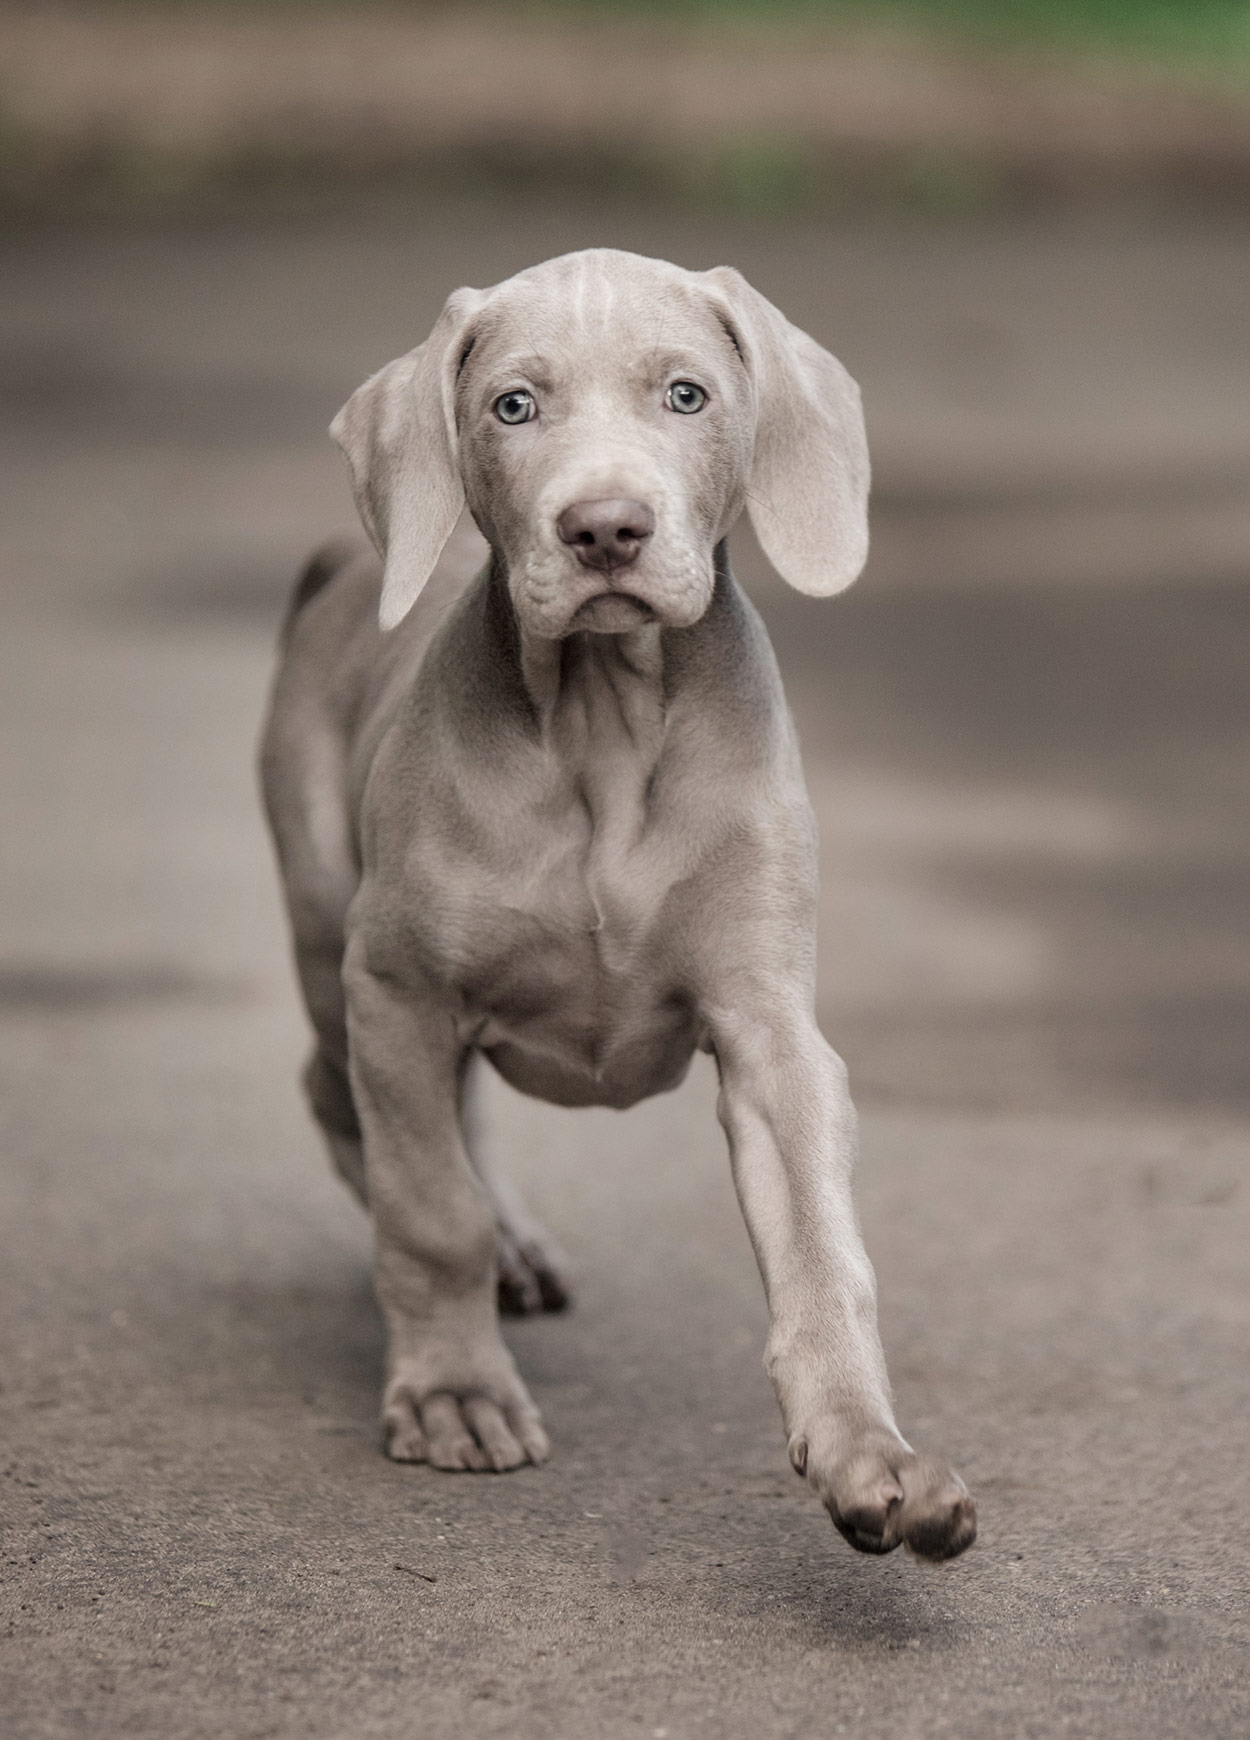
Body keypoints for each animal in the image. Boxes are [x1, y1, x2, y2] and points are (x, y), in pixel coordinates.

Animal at [261, 248, 981, 1566]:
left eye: (685, 395)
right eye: (512, 405)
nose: (604, 527)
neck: (600, 723)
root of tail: (342, 568)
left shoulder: (770, 1033)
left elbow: (821, 1256)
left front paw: (871, 1457)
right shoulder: (399, 987)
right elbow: (426, 1206)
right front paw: (453, 1391)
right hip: (327, 928)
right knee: (358, 1107)